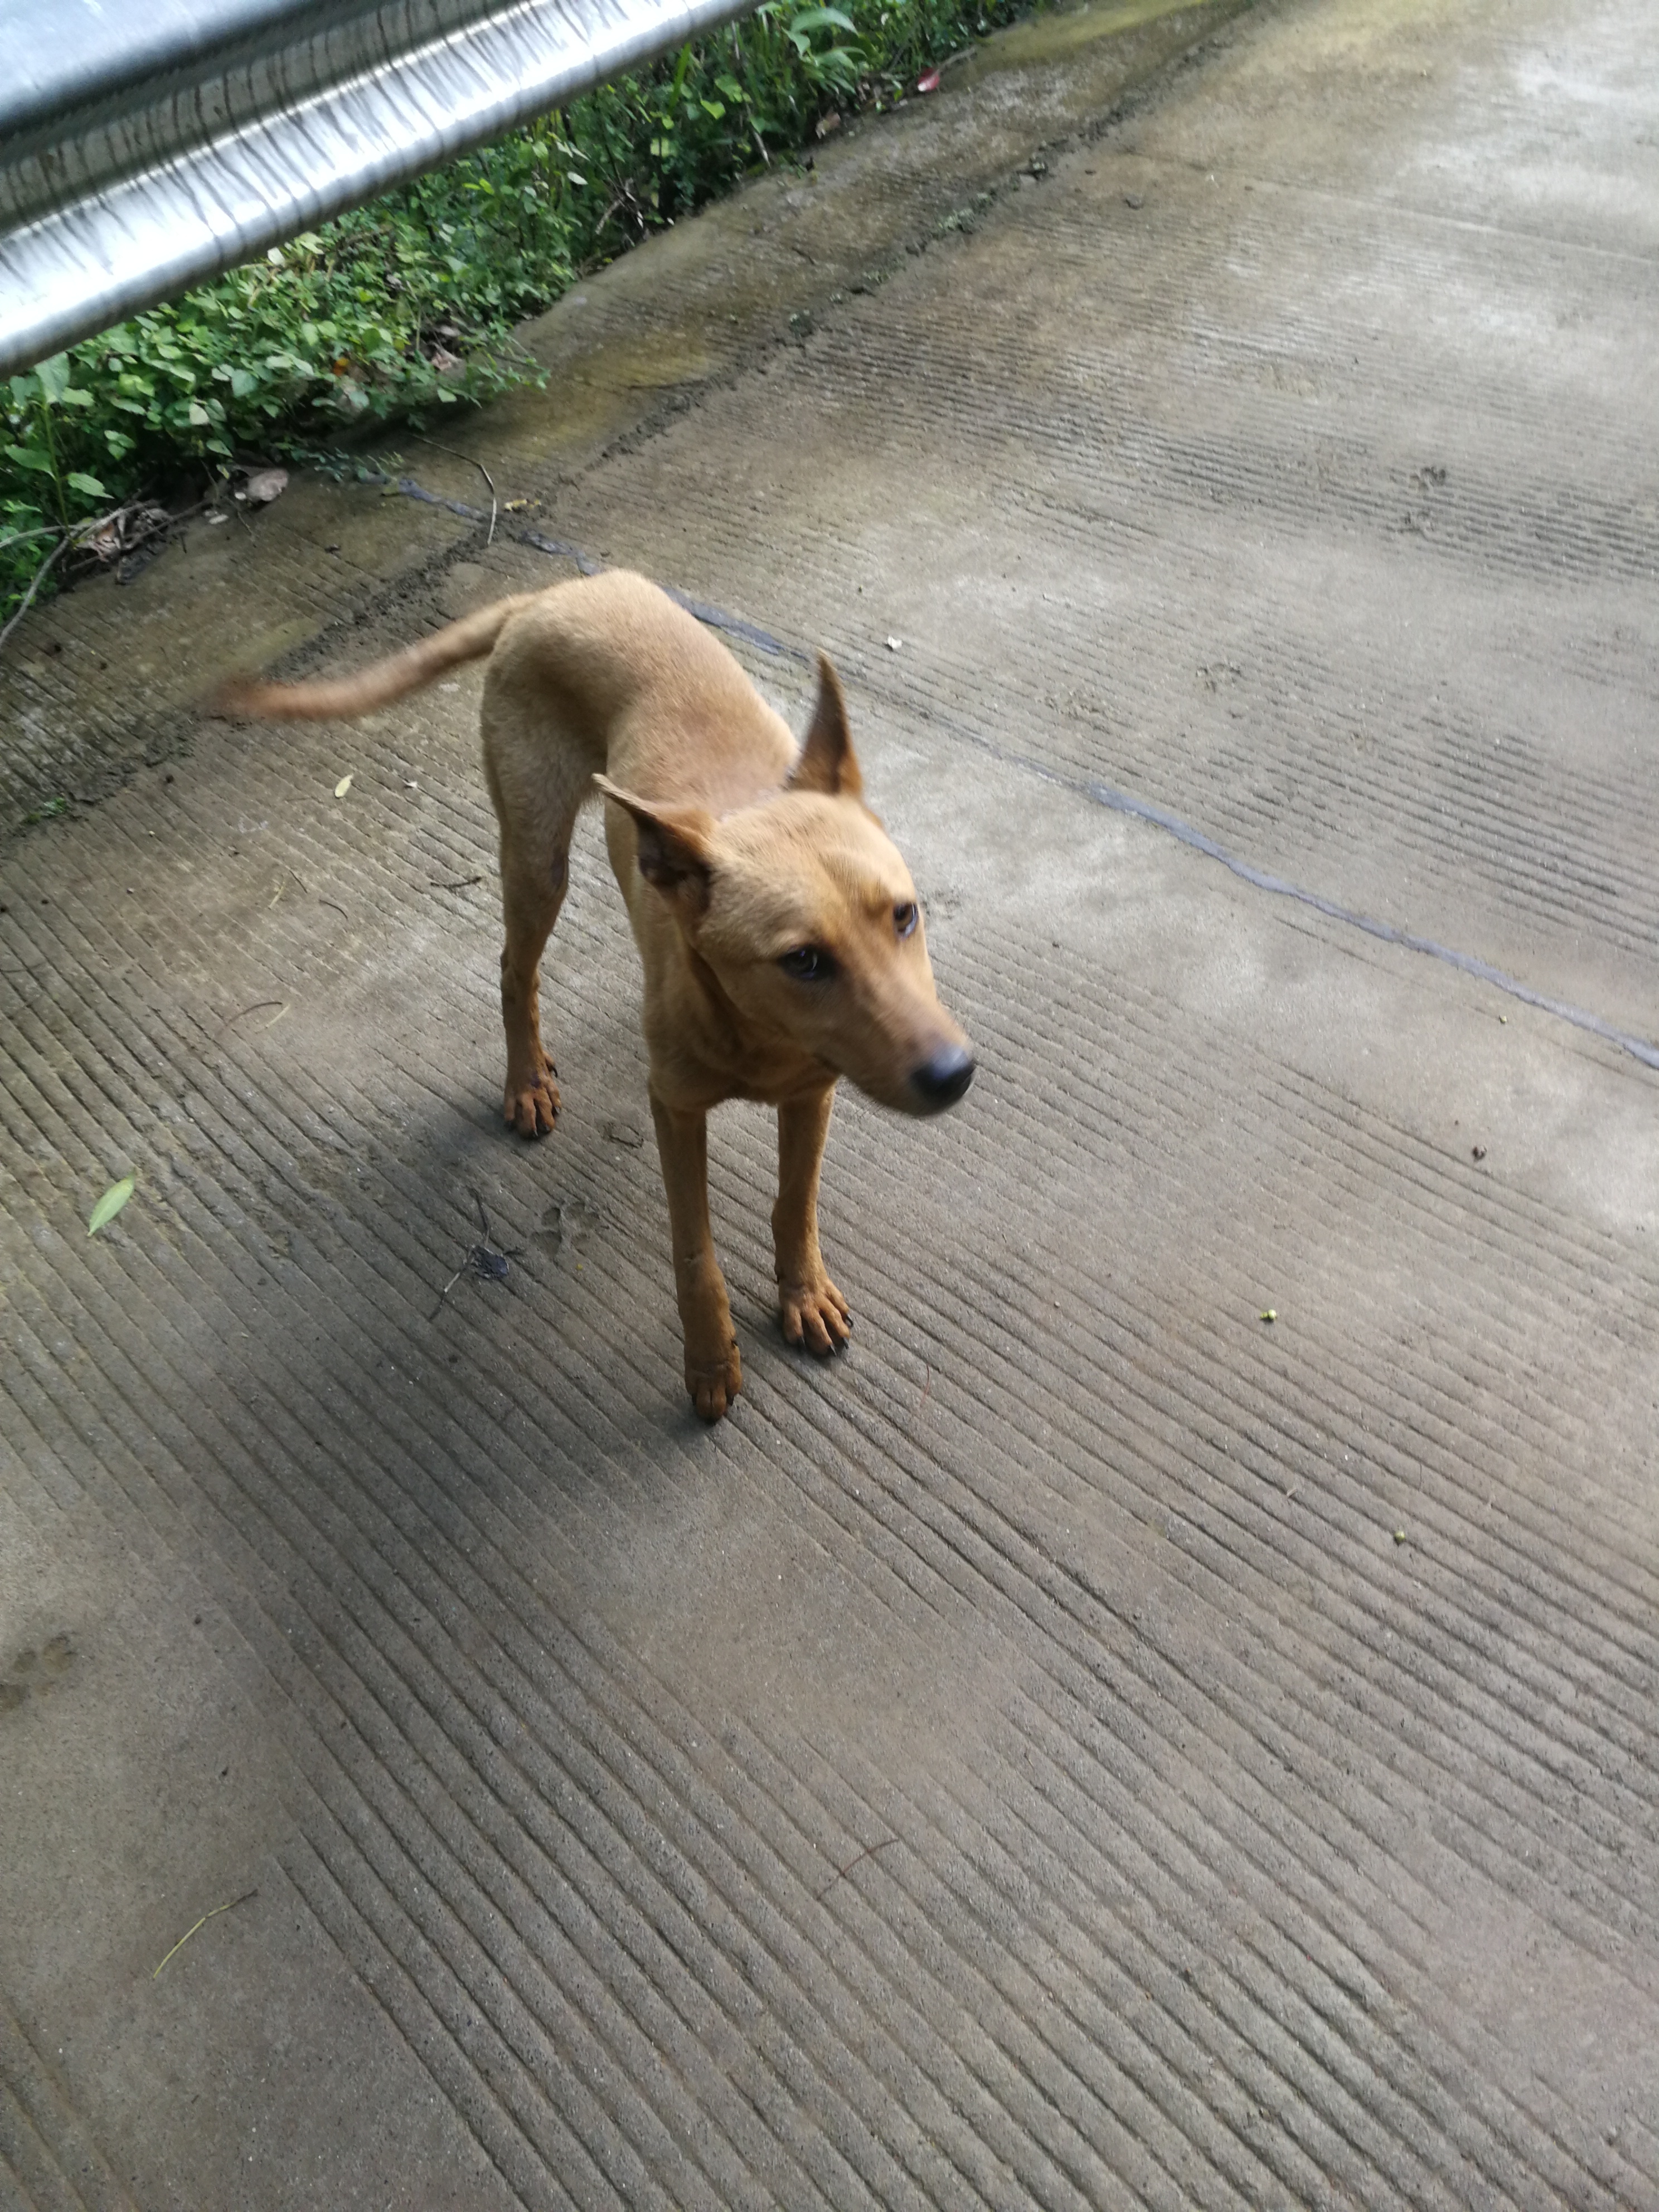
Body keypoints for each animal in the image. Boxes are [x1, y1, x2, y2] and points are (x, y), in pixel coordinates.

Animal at [218, 569, 974, 1420]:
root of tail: (554, 593)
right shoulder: (675, 1111)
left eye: (904, 915)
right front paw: (709, 1360)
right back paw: (524, 1080)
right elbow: (694, 1250)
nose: (956, 1076)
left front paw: (803, 1292)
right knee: (514, 969)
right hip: (536, 853)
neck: (758, 1033)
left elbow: (796, 1204)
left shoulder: (813, 1093)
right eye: (804, 961)